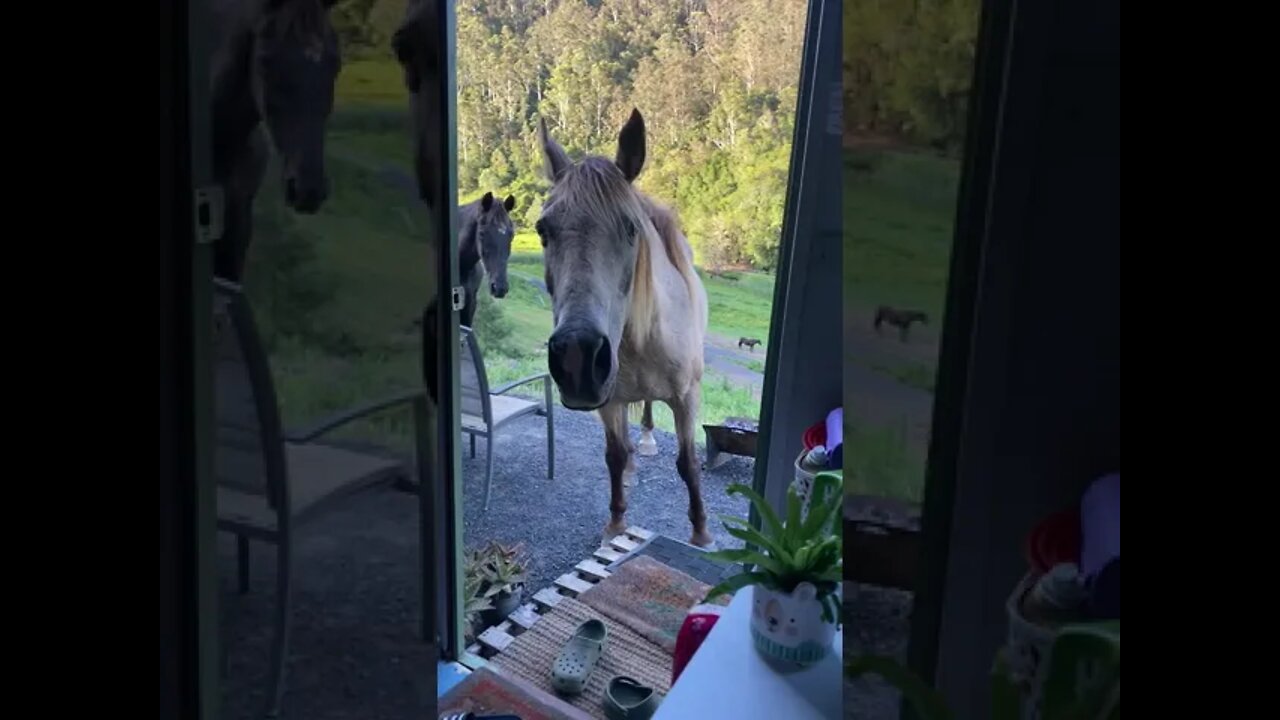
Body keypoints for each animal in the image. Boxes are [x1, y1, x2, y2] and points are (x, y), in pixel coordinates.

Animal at [529, 106, 711, 543]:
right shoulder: (608, 399)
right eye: (543, 230)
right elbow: (612, 455)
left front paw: (701, 532)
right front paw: (616, 523)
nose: (577, 357)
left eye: (631, 228)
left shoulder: (687, 397)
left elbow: (689, 463)